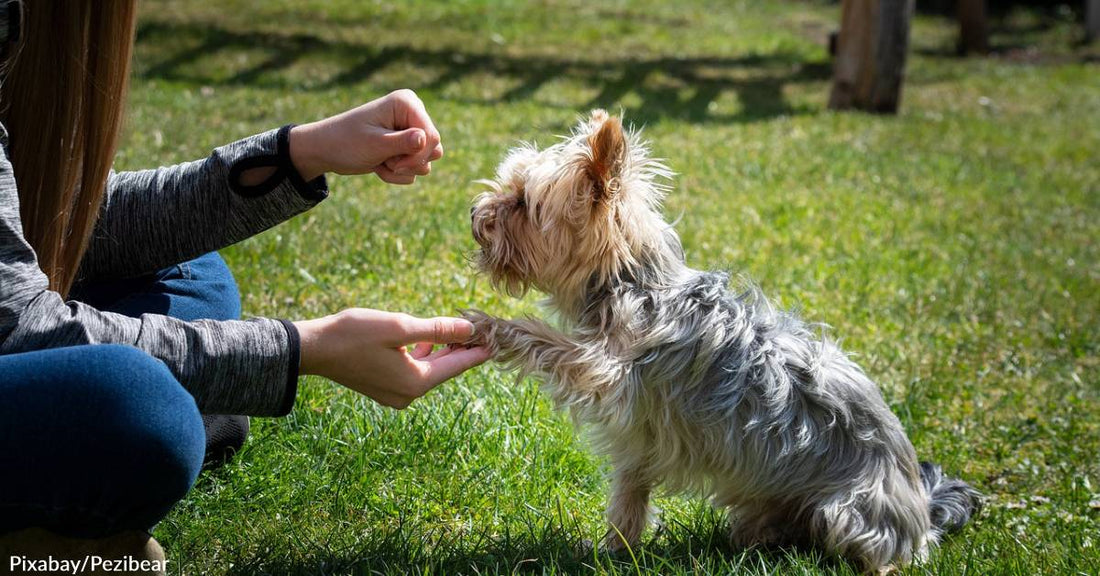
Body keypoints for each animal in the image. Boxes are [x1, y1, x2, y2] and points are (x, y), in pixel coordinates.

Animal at [462, 109, 981, 571]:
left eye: (522, 202)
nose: (473, 213)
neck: (633, 283)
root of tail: (922, 509)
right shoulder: (640, 434)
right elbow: (631, 492)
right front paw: (615, 550)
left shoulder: (607, 370)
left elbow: (547, 341)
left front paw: (489, 326)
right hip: (768, 502)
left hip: (851, 511)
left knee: (881, 556)